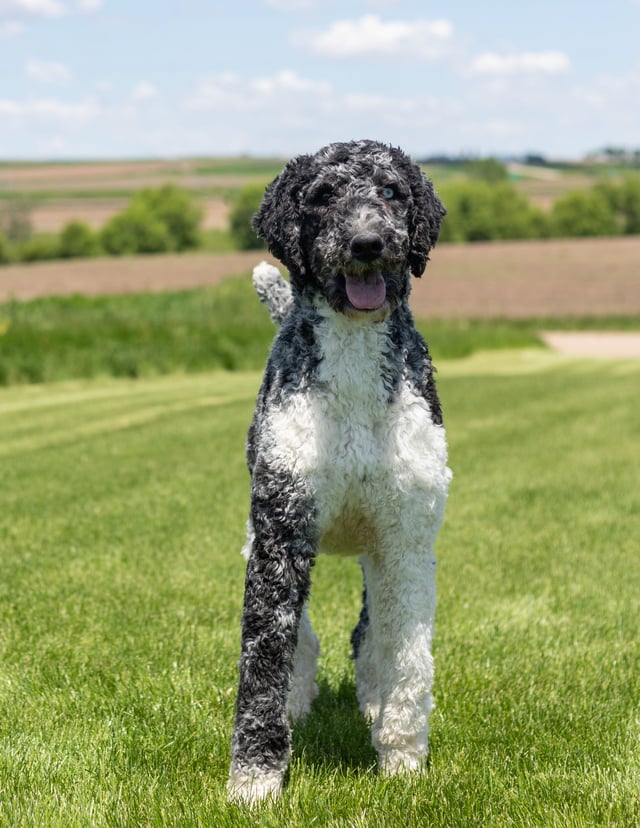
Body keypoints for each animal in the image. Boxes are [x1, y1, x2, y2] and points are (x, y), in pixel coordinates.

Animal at [228, 139, 452, 804]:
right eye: (323, 195)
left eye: (391, 191)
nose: (367, 242)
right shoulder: (280, 532)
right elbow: (264, 661)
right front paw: (255, 779)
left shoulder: (405, 538)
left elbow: (409, 658)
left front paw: (402, 760)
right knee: (303, 641)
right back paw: (298, 702)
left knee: (369, 637)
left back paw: (374, 705)